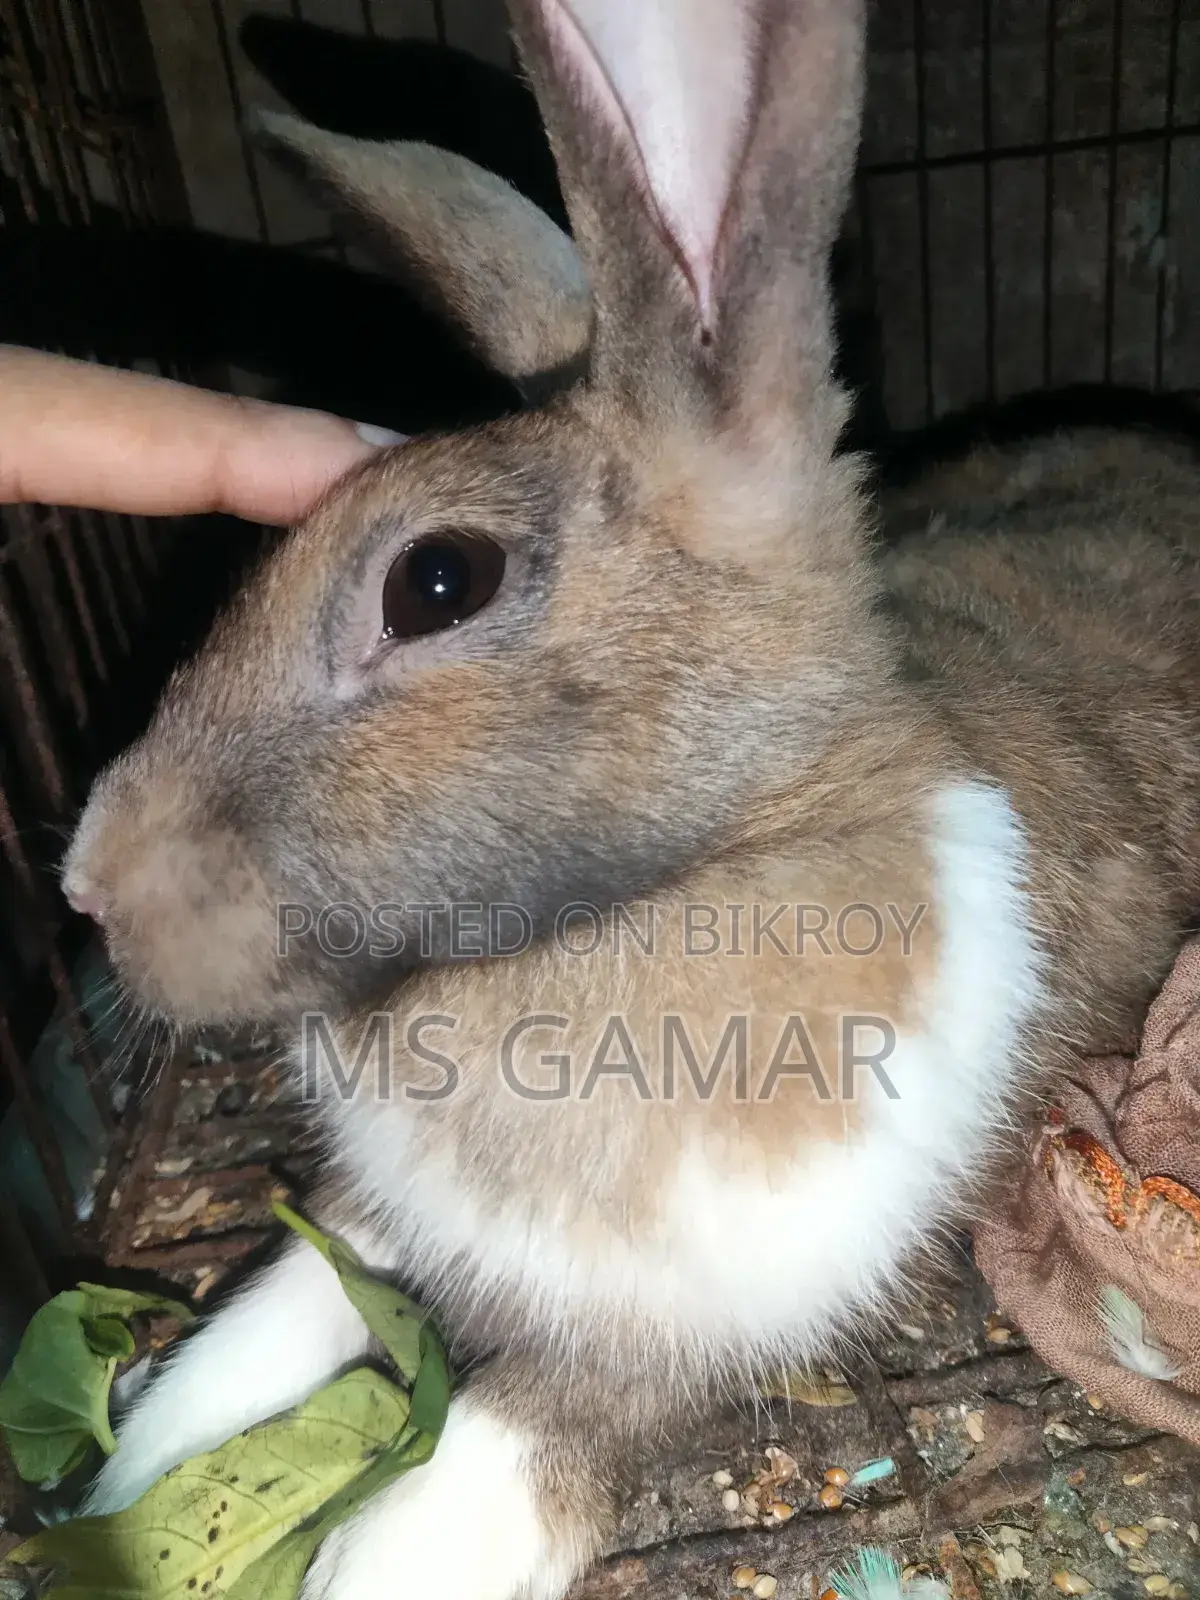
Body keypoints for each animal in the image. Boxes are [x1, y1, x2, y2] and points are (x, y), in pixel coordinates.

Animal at [61, 0, 1200, 1596]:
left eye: (438, 580)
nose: (87, 882)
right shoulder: (385, 1215)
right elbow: (295, 1288)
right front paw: (141, 1468)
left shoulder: (713, 1310)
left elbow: (550, 1410)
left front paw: (387, 1554)